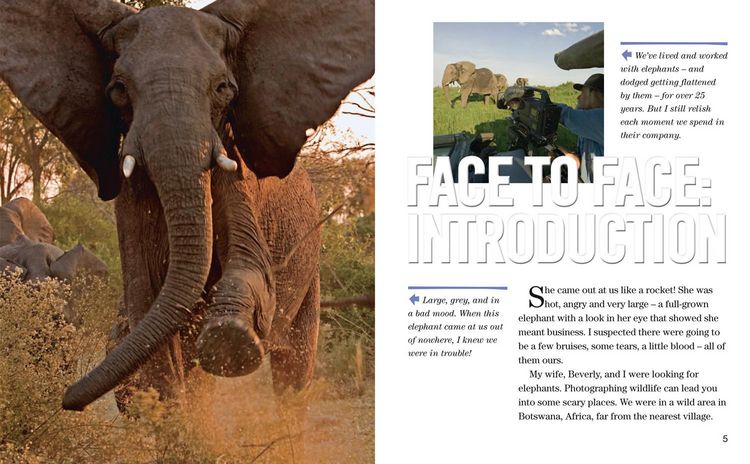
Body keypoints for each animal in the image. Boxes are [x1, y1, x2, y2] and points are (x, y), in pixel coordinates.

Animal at [0, 0, 374, 412]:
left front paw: (228, 333)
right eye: (119, 91)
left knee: (293, 369)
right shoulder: (129, 199)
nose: (69, 400)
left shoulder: (238, 172)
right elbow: (146, 305)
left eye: (223, 88)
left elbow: (257, 274)